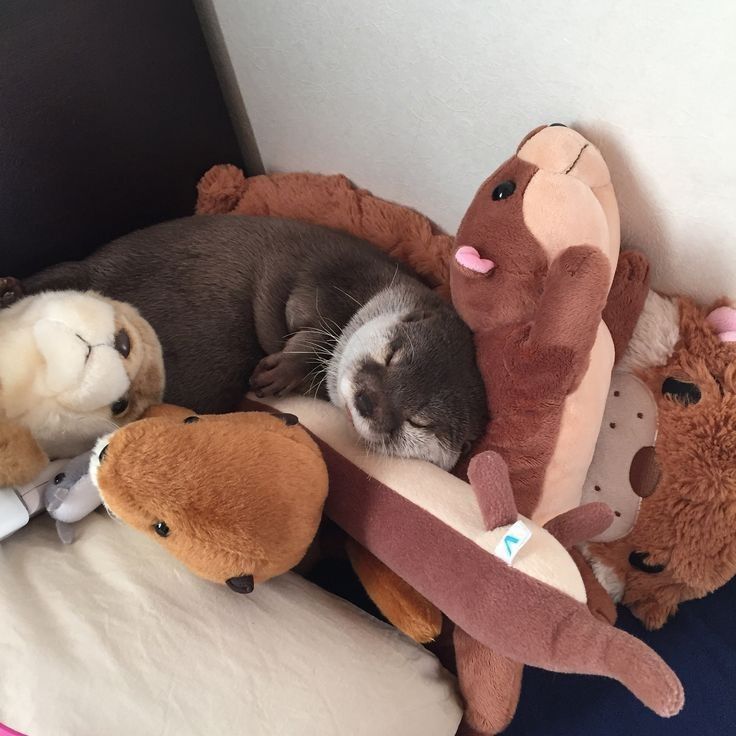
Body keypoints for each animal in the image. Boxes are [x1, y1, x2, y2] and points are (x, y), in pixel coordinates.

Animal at [8, 217, 488, 472]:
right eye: (392, 355)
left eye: (418, 422)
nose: (370, 400)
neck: (372, 286)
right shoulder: (329, 272)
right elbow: (309, 319)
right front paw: (283, 369)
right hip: (81, 270)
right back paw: (10, 289)